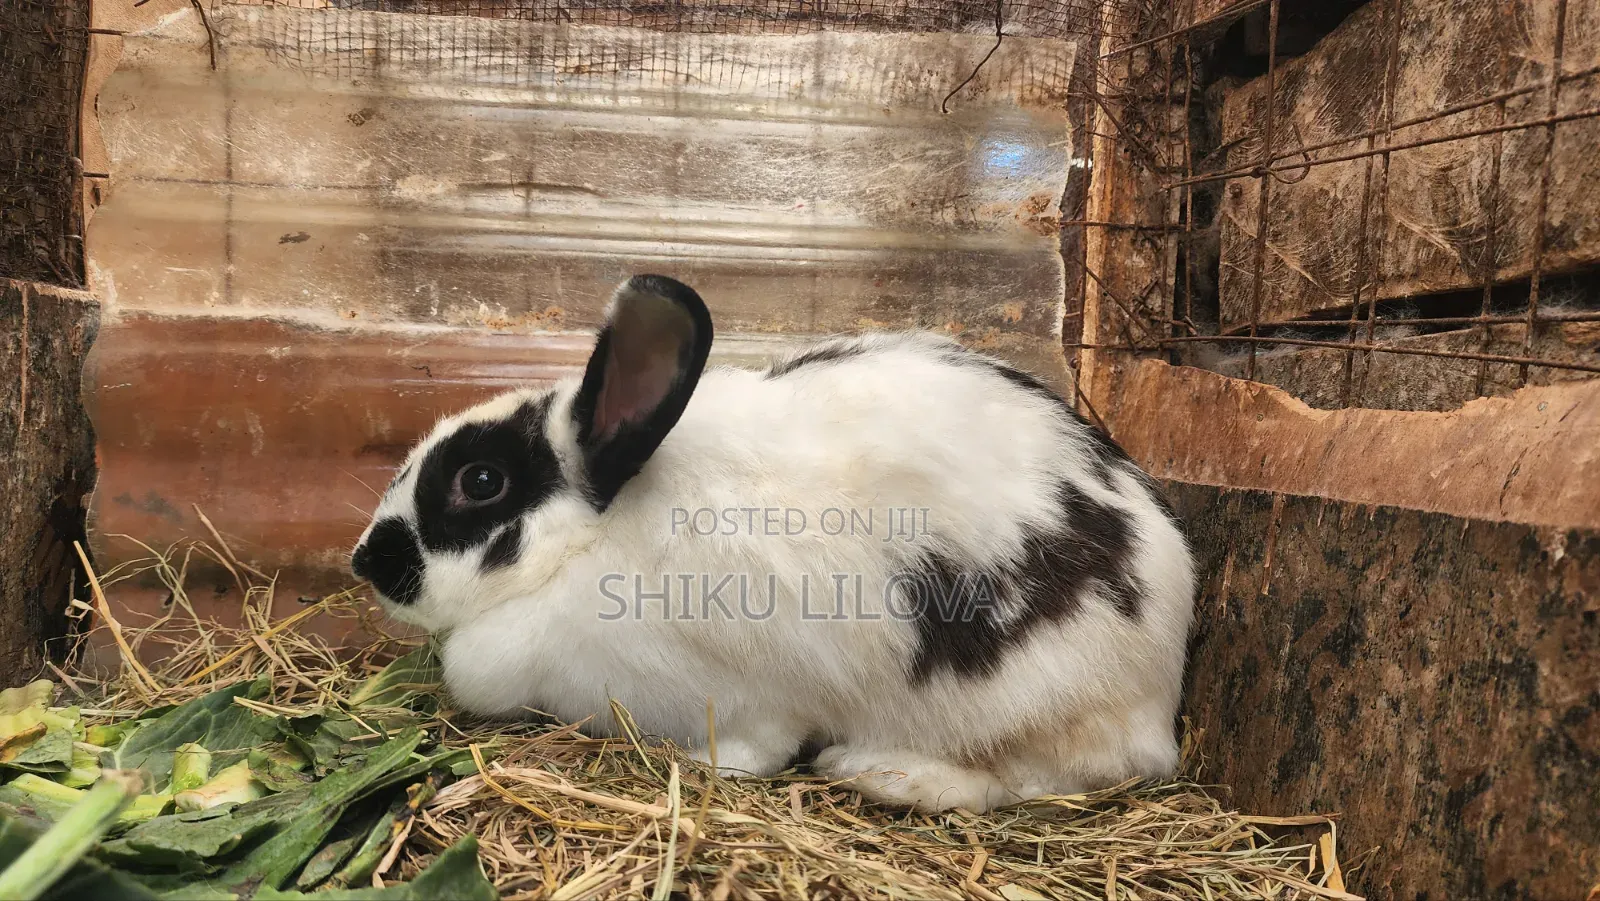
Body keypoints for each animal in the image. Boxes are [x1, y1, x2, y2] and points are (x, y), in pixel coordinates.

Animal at [350, 274, 1196, 813]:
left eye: (481, 481)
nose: (365, 562)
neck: (595, 538)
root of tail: (1166, 680)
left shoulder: (755, 694)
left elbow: (758, 746)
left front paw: (703, 767)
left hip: (1036, 703)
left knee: (1038, 780)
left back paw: (889, 775)